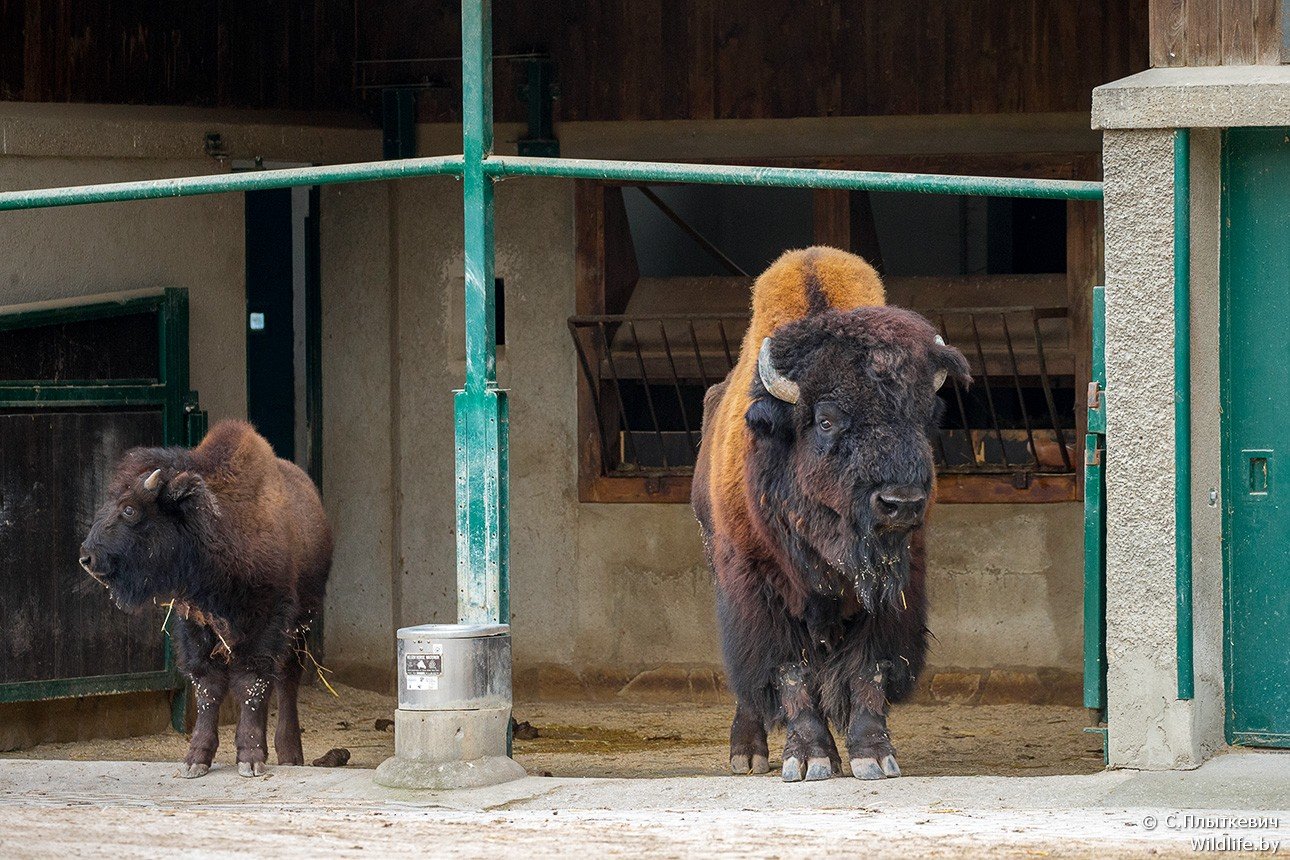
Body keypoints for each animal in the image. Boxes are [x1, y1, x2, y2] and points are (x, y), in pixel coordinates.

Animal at [79, 420, 332, 778]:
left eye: (129, 509)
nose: (87, 558)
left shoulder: (267, 620)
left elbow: (252, 682)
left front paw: (250, 758)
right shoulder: (194, 622)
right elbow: (208, 687)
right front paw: (196, 759)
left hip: (302, 623)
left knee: (287, 679)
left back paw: (289, 753)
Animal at [696, 244, 970, 783]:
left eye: (923, 416)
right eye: (825, 420)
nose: (900, 502)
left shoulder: (892, 586)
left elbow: (868, 667)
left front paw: (872, 755)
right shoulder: (761, 588)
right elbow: (790, 670)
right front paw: (809, 757)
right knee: (749, 681)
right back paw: (747, 753)